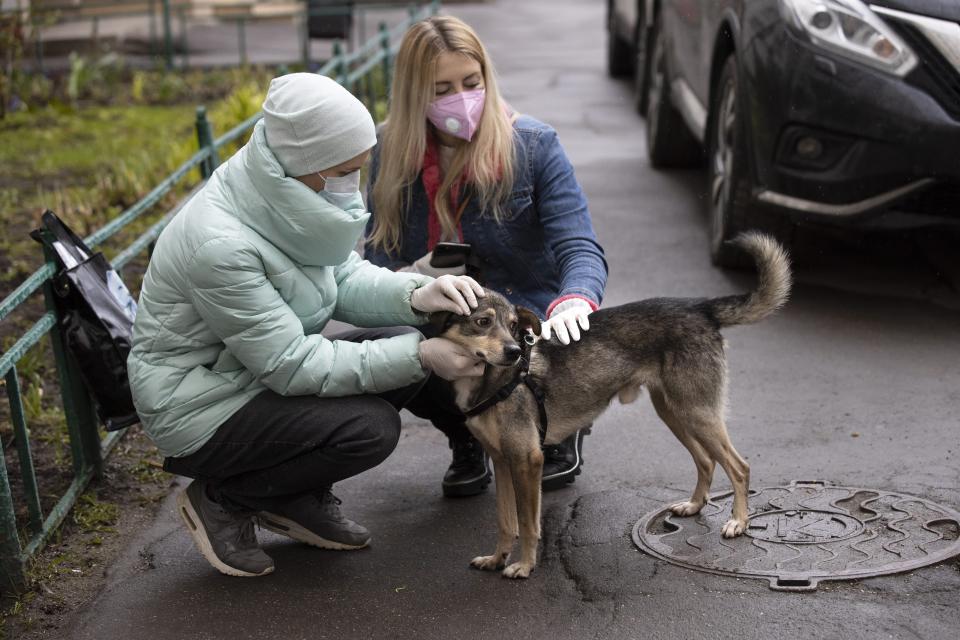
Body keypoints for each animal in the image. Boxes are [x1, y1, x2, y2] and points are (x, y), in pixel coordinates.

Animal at [436, 232, 788, 576]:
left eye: (513, 326)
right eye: (482, 322)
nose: (513, 351)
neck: (493, 380)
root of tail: (700, 307)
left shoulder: (527, 460)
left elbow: (527, 522)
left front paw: (524, 565)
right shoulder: (502, 460)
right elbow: (505, 521)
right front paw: (497, 558)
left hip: (696, 413)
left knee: (739, 467)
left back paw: (738, 522)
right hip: (675, 412)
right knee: (706, 460)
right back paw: (694, 505)